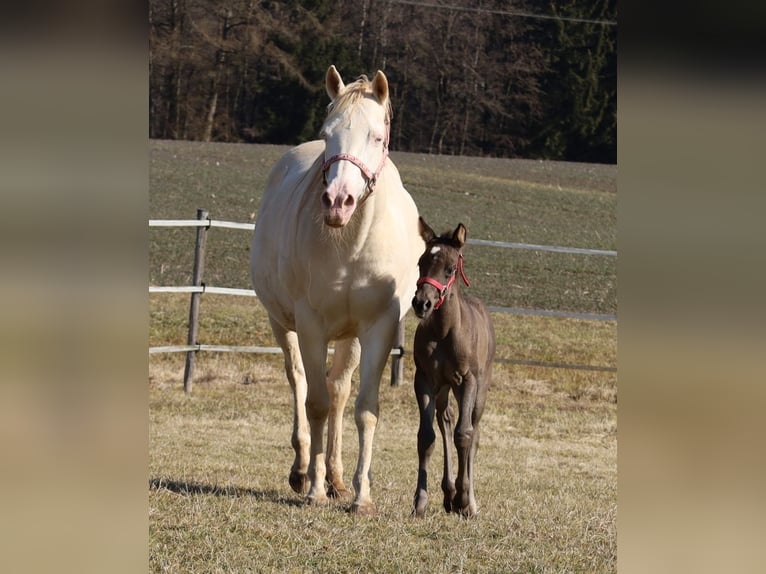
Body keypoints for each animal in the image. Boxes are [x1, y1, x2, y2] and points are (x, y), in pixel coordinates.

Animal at [252, 65, 424, 516]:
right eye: (328, 133)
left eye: (376, 137)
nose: (337, 201)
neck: (351, 241)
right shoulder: (310, 325)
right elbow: (315, 402)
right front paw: (312, 488)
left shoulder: (377, 327)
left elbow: (364, 409)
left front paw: (360, 495)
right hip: (282, 323)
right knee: (299, 381)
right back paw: (303, 472)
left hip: (350, 336)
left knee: (339, 390)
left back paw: (336, 477)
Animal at [412, 217, 496, 520]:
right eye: (421, 263)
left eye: (450, 269)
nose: (421, 303)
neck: (445, 332)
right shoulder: (424, 379)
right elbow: (427, 436)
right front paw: (420, 502)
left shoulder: (468, 380)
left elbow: (465, 435)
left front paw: (464, 500)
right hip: (445, 388)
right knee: (446, 418)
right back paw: (448, 494)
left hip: (480, 389)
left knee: (474, 430)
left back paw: (467, 500)